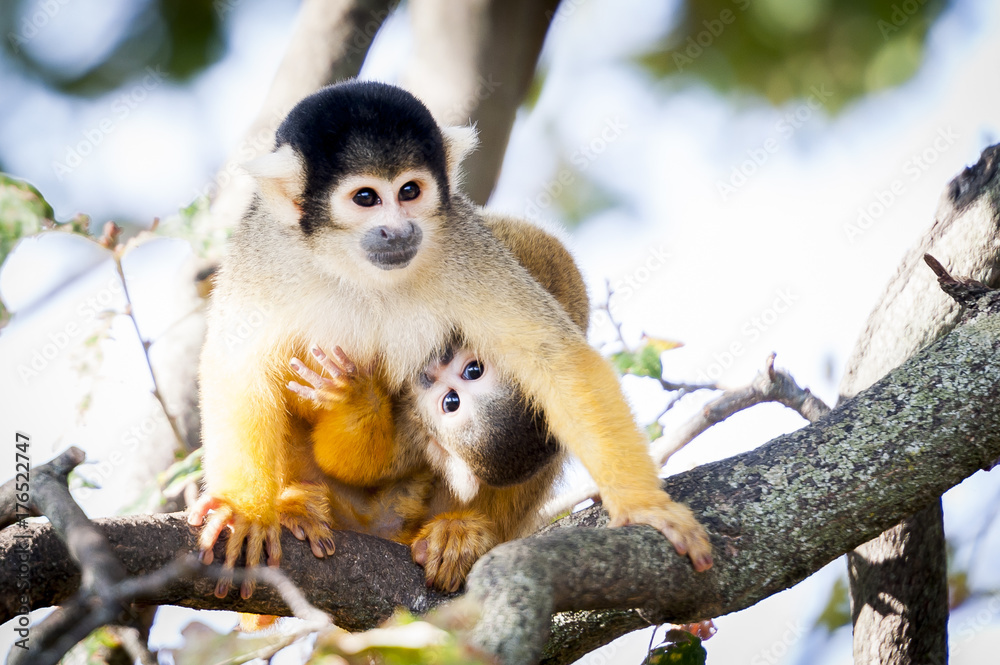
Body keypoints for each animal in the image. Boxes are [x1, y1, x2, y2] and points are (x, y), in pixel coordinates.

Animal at [190, 80, 712, 599]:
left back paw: (464, 530)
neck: (357, 268)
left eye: (410, 191)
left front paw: (644, 507)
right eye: (366, 198)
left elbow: (553, 358)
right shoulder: (263, 255)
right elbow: (237, 368)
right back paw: (296, 505)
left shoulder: (461, 242)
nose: (399, 230)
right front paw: (245, 510)